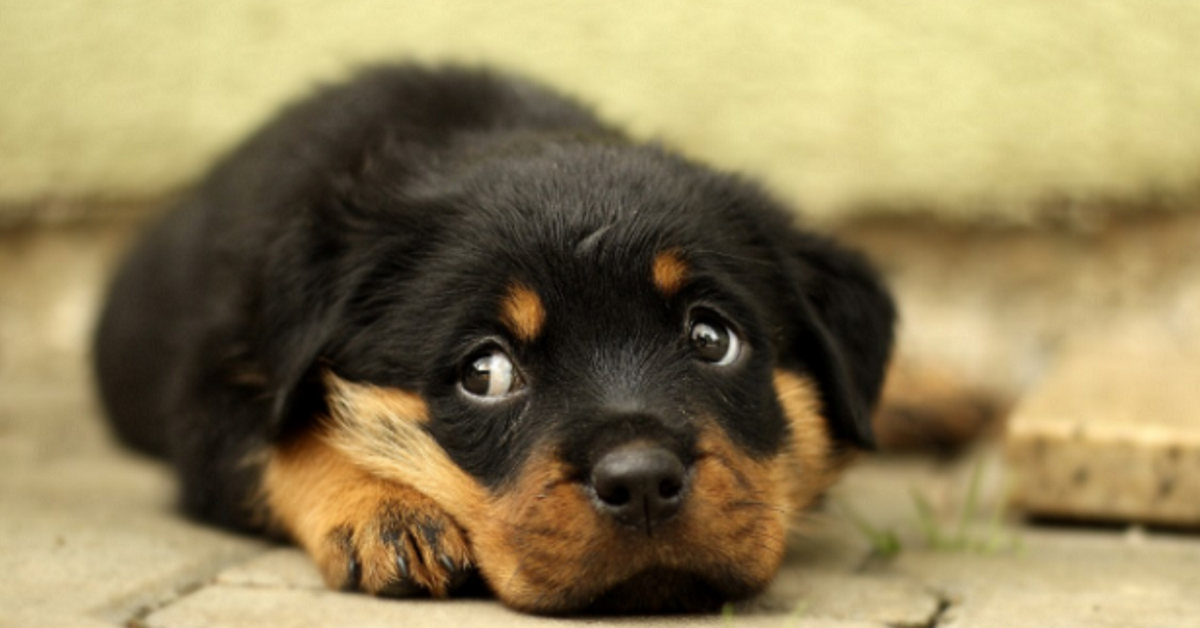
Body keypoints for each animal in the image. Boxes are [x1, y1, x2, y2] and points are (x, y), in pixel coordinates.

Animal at [93, 65, 897, 614]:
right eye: (485, 372)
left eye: (711, 338)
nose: (640, 482)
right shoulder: (217, 388)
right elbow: (284, 441)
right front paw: (383, 511)